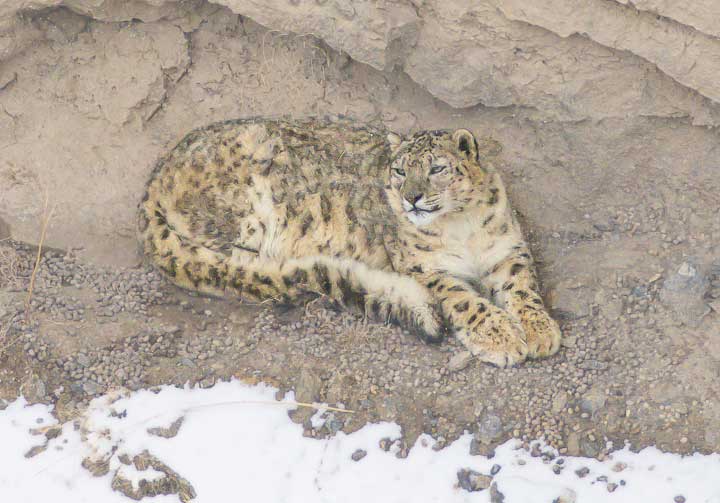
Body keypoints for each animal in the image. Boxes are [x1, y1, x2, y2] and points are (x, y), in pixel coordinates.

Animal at [138, 117, 562, 367]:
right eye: (399, 170)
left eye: (437, 169)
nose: (411, 197)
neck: (461, 226)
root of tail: (157, 173)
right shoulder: (424, 268)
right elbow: (465, 300)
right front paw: (501, 337)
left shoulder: (508, 250)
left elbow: (523, 289)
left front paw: (539, 331)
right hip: (245, 212)